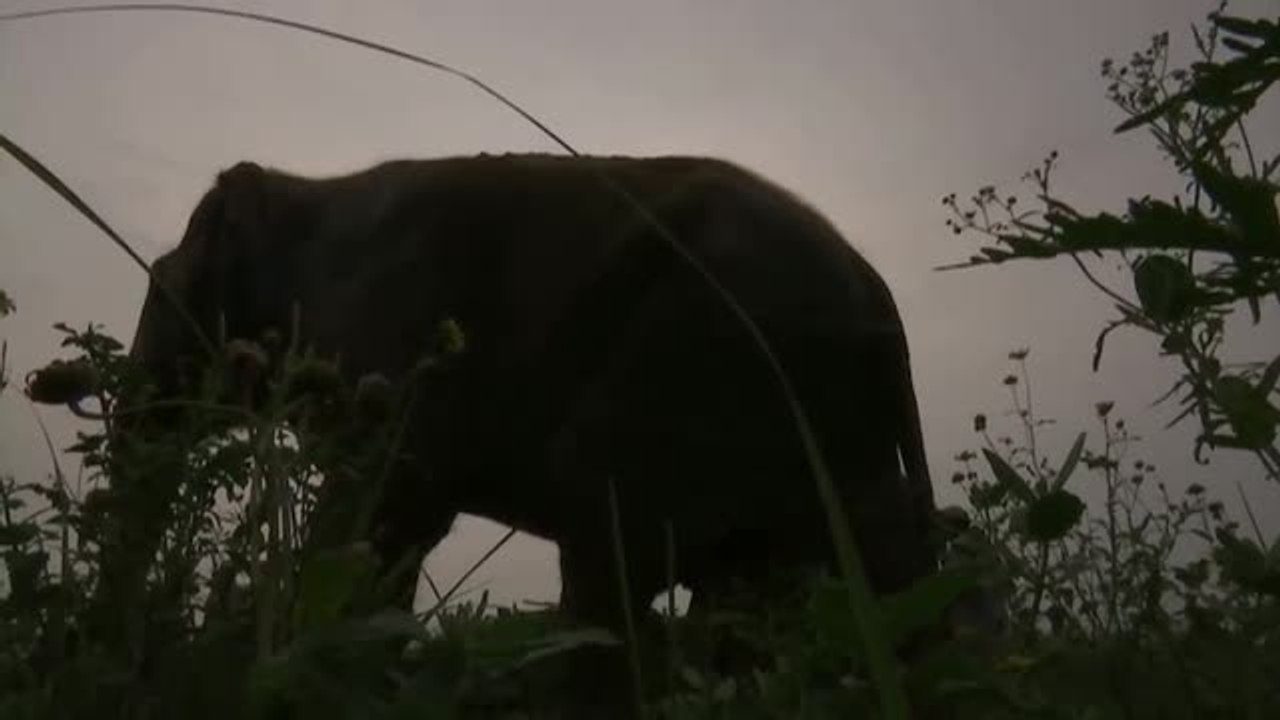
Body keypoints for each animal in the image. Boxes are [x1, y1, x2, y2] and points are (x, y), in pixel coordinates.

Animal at [117, 152, 938, 648]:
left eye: (157, 283)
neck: (307, 189)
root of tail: (883, 301)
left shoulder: (395, 343)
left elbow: (379, 507)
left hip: (698, 369)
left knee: (614, 551)